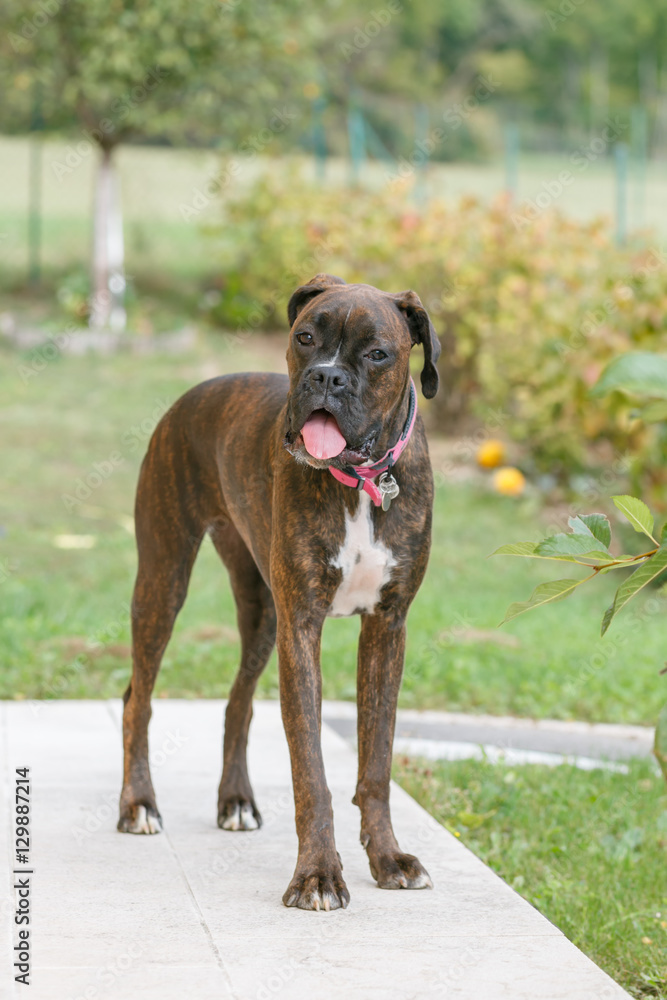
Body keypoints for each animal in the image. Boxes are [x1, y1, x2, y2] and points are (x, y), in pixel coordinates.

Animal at [118, 276, 444, 916]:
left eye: (377, 353)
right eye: (305, 338)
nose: (326, 377)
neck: (361, 485)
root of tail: (196, 392)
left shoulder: (385, 629)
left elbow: (377, 760)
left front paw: (388, 858)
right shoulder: (303, 627)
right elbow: (310, 769)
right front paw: (317, 875)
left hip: (261, 611)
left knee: (238, 702)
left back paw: (235, 802)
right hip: (164, 581)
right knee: (136, 699)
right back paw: (138, 805)